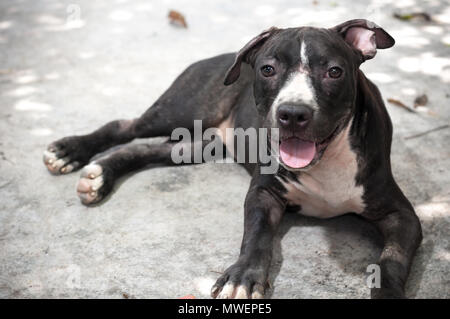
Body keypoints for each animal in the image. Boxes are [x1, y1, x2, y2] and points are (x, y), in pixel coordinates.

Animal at [42, 20, 422, 300]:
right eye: (267, 69)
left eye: (334, 72)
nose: (292, 113)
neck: (325, 162)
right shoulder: (263, 193)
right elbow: (256, 236)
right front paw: (242, 278)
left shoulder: (401, 215)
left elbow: (391, 262)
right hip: (181, 110)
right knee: (124, 126)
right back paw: (70, 152)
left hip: (194, 146)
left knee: (145, 149)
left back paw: (100, 175)